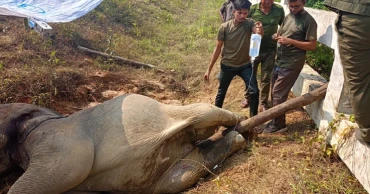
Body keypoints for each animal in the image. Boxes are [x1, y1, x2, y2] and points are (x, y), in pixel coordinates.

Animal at [0, 93, 249, 192]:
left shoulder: (57, 137)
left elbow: (71, 168)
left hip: (177, 112)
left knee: (203, 114)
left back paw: (240, 121)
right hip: (165, 174)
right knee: (183, 174)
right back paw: (235, 138)